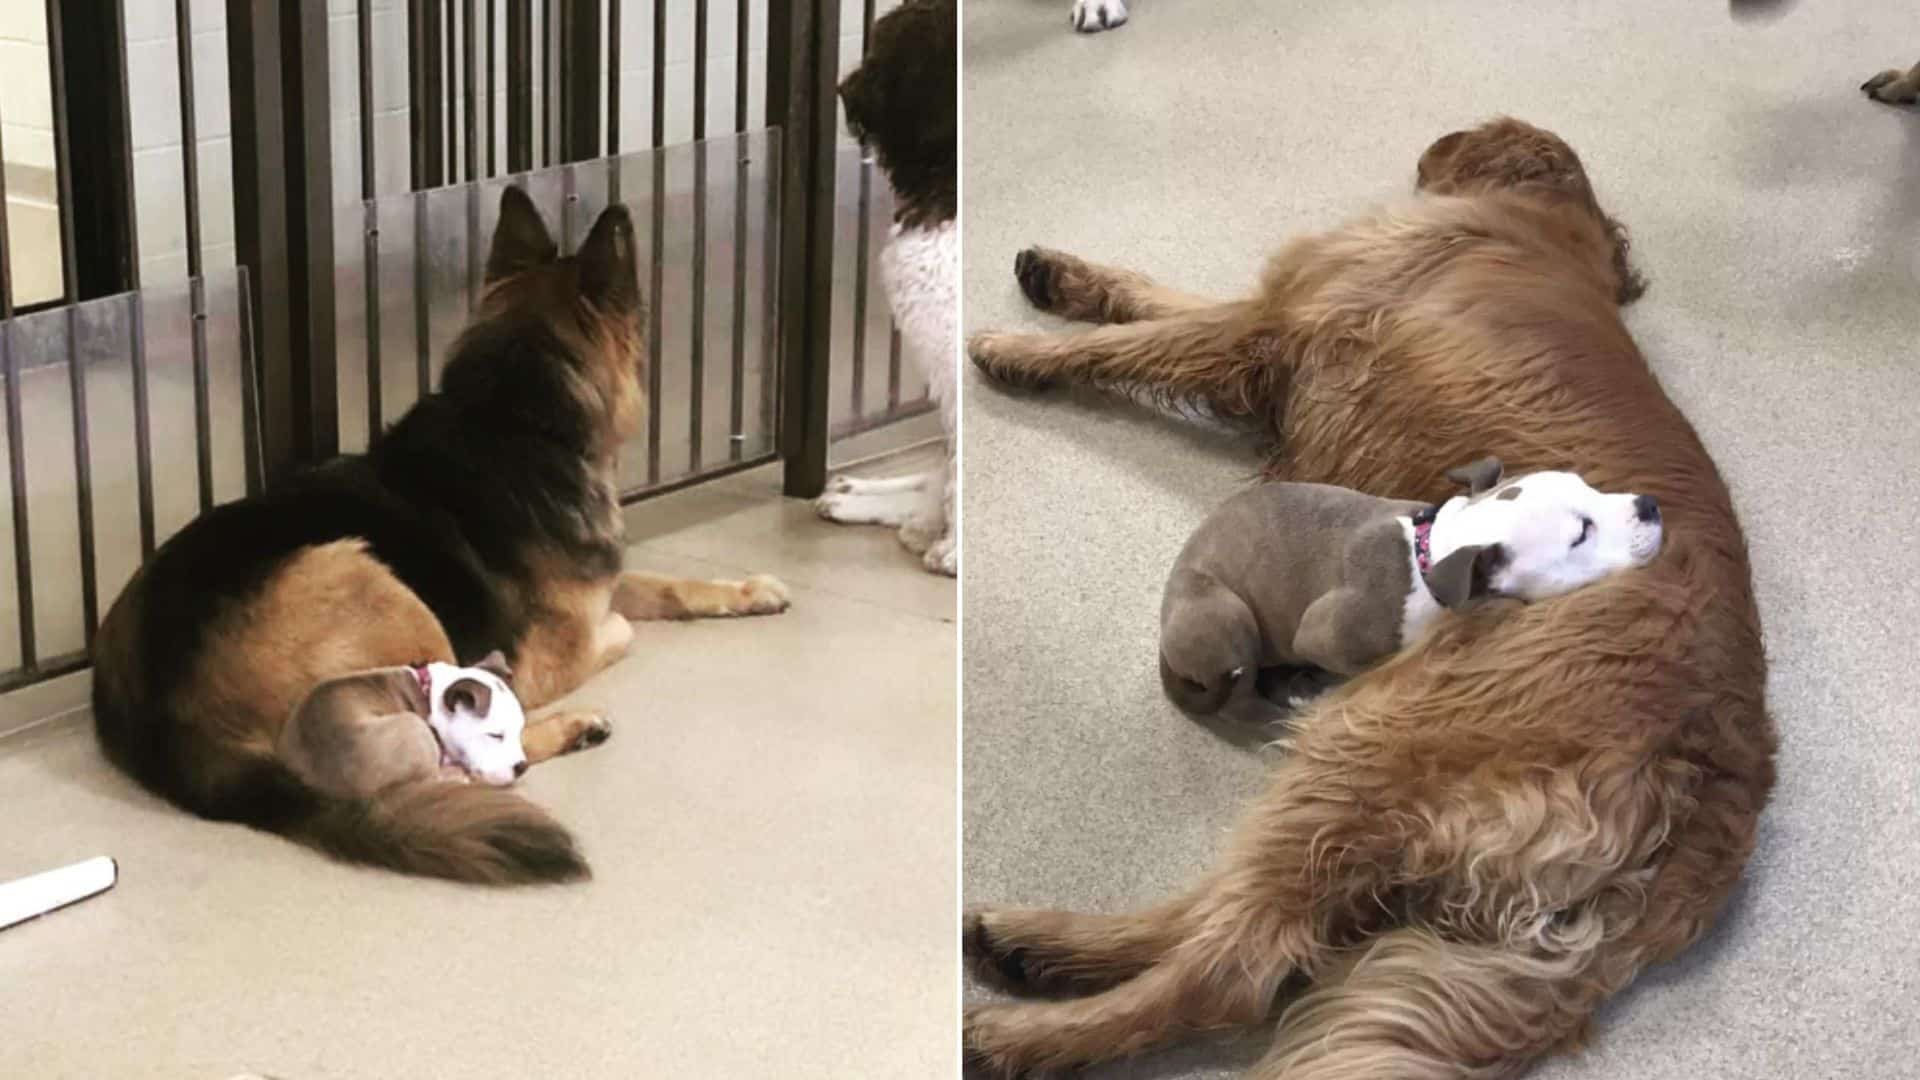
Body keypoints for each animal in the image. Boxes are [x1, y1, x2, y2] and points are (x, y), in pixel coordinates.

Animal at [88, 189, 794, 880]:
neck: (515, 417)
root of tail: (170, 722)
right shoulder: (555, 649)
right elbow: (617, 632)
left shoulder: (596, 579)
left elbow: (669, 585)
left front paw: (749, 591)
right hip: (373, 585)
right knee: (462, 755)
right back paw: (570, 728)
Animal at [1152, 451, 1666, 714]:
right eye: (1581, 533)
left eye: (1590, 487)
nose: (1650, 504)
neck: (1432, 557)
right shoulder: (1321, 634)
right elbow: (1353, 666)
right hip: (1228, 614)